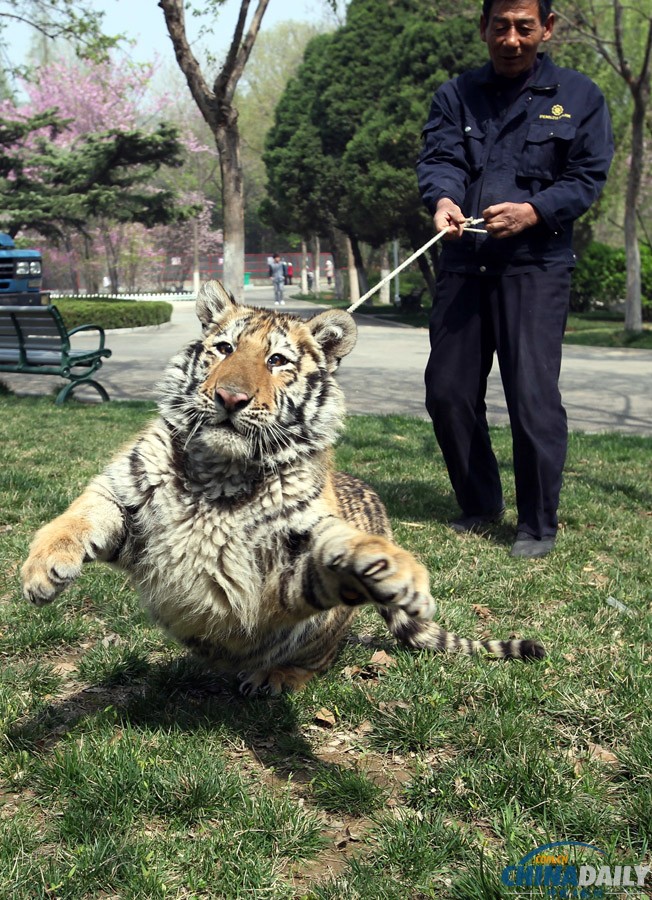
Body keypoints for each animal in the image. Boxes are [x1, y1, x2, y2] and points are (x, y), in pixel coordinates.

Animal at [21, 280, 545, 696]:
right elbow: (76, 517)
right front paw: (41, 570)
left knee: (320, 648)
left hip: (315, 624)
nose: (230, 397)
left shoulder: (288, 557)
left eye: (277, 361)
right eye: (224, 349)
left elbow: (339, 551)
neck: (219, 471)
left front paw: (396, 572)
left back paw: (278, 675)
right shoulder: (123, 492)